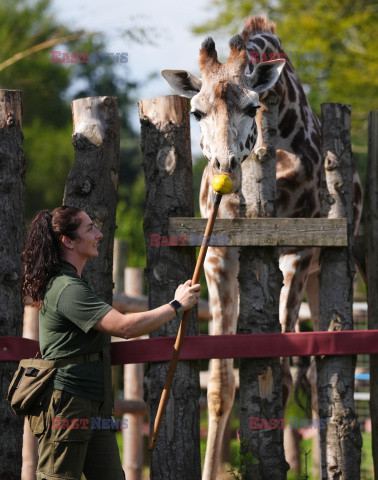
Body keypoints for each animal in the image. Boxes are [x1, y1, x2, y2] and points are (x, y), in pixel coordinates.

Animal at [162, 15, 364, 480]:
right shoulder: (219, 257)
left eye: (252, 107)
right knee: (318, 379)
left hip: (342, 262)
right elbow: (221, 383)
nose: (225, 168)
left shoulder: (297, 253)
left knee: (314, 377)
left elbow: (283, 372)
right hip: (318, 278)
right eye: (196, 111)